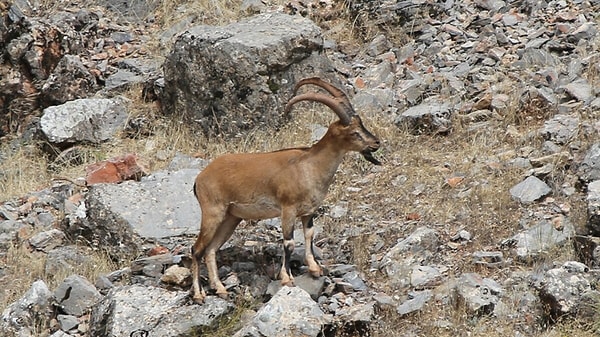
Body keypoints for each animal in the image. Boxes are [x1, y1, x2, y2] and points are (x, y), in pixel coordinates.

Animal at [190, 77, 382, 302]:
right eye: (354, 132)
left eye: (362, 125)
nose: (376, 143)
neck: (309, 165)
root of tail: (200, 179)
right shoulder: (288, 208)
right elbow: (289, 242)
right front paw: (287, 278)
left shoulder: (308, 212)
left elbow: (309, 234)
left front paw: (315, 269)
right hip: (213, 212)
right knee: (197, 249)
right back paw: (199, 294)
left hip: (231, 217)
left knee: (211, 250)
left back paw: (220, 289)